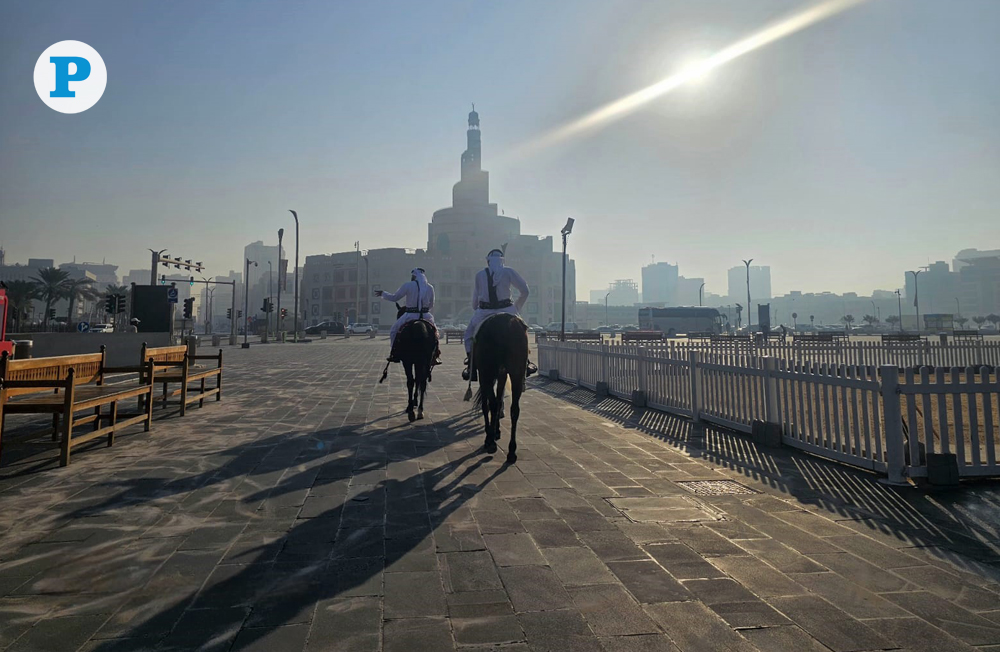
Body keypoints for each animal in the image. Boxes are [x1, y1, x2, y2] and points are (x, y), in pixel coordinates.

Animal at [468, 312, 532, 460]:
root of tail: (506, 324)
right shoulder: (502, 374)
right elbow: (499, 400)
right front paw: (496, 430)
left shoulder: (484, 375)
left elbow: (488, 404)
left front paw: (490, 435)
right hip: (516, 373)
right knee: (514, 409)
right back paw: (512, 450)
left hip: (488, 372)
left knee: (491, 404)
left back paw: (491, 443)